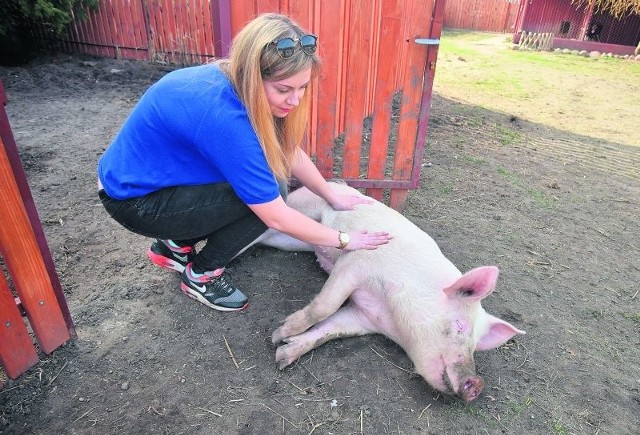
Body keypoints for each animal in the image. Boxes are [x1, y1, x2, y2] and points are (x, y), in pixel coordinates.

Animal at [258, 182, 528, 404]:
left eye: (476, 347)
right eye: (461, 326)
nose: (477, 383)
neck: (390, 315)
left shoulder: (362, 317)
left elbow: (328, 331)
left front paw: (282, 356)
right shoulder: (355, 263)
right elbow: (324, 306)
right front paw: (278, 333)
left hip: (294, 240)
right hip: (299, 208)